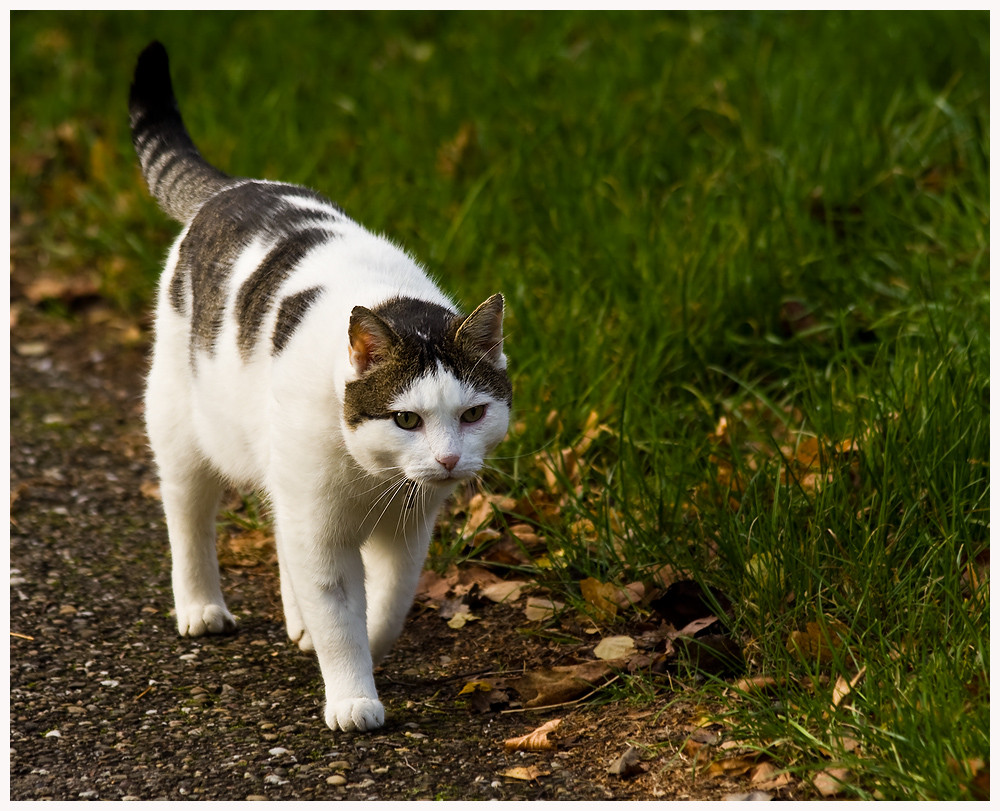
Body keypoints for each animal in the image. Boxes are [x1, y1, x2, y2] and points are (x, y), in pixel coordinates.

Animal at [129, 41, 512, 732]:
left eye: (472, 414)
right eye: (406, 419)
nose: (448, 460)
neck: (373, 479)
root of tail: (234, 187)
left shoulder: (406, 534)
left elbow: (386, 608)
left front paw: (359, 647)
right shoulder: (321, 530)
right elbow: (340, 617)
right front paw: (352, 696)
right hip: (180, 425)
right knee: (188, 513)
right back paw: (201, 607)